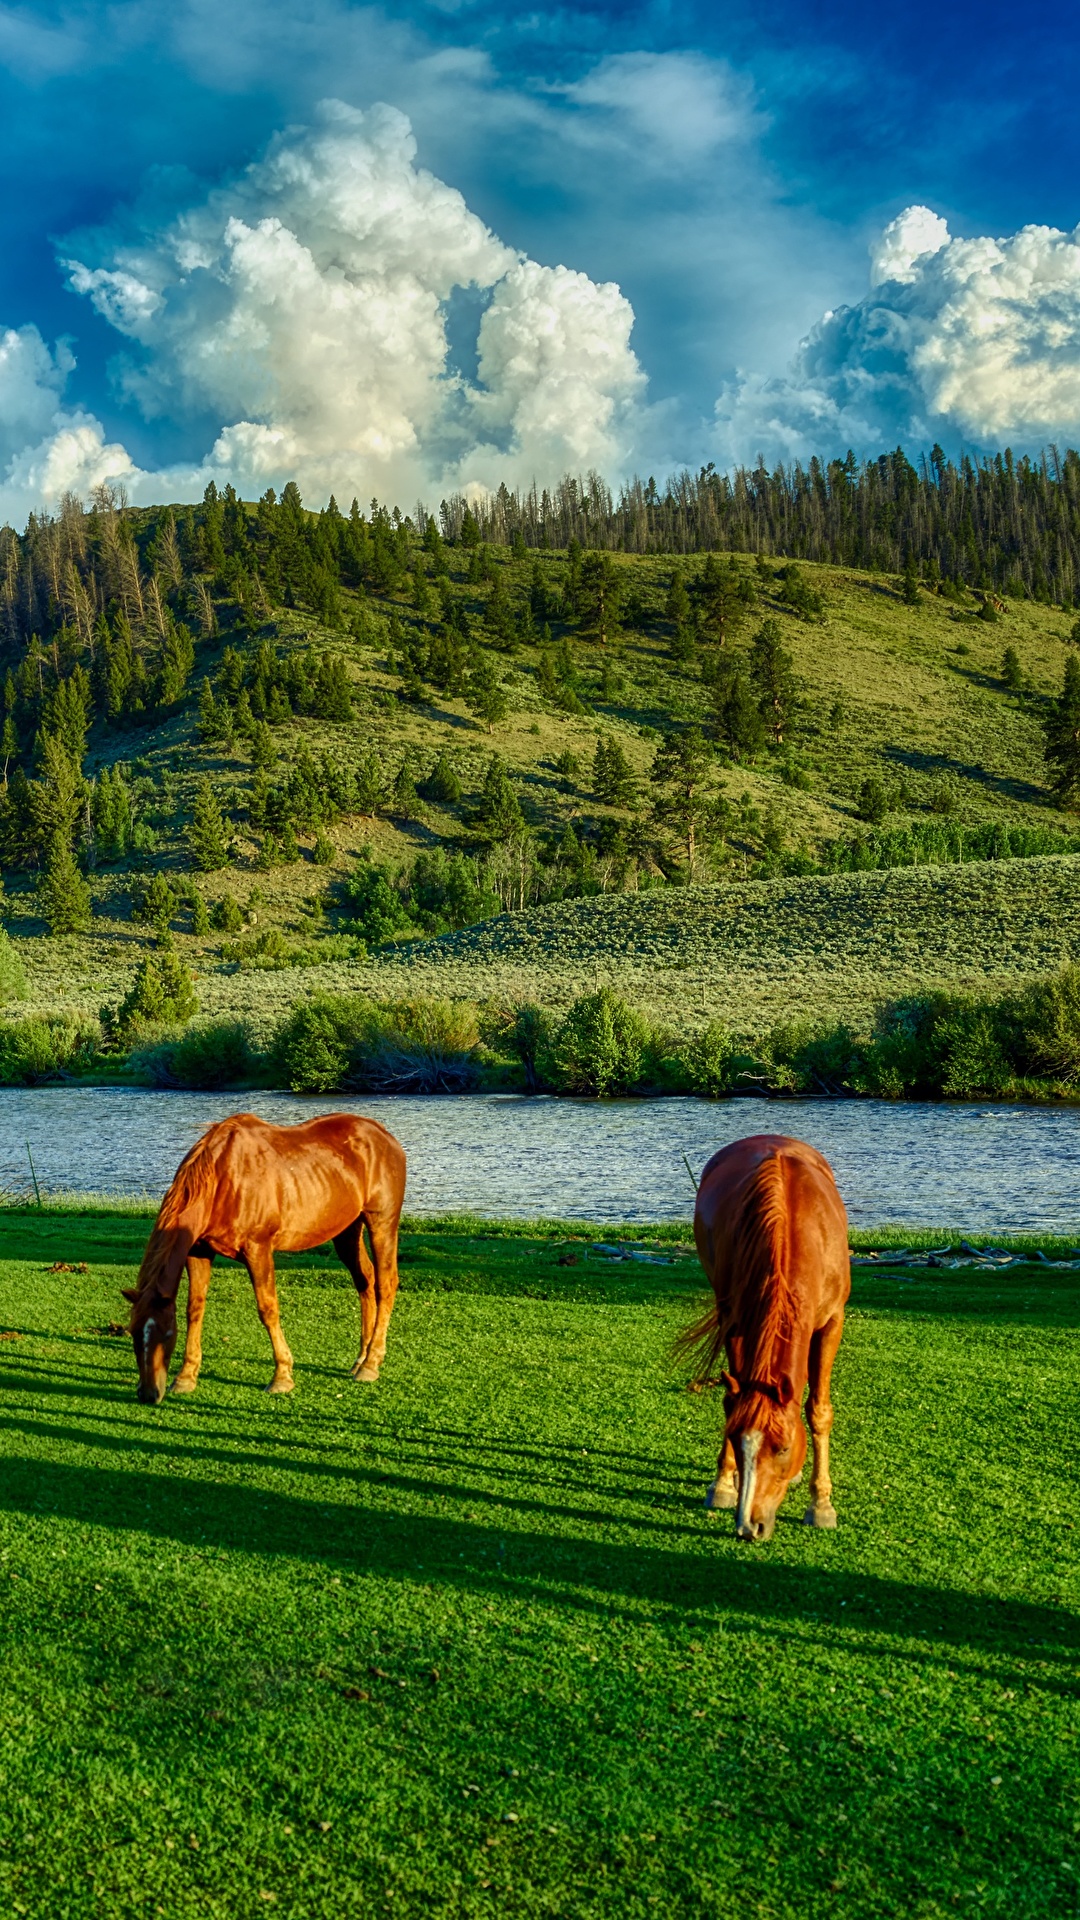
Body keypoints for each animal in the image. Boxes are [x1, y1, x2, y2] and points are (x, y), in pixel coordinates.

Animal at [123, 1112, 407, 1406]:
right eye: (132, 1331)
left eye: (166, 1334)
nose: (147, 1393)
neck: (222, 1178)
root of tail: (383, 1134)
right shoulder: (198, 1251)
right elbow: (195, 1309)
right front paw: (186, 1376)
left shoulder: (257, 1249)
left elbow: (268, 1310)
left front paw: (282, 1375)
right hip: (347, 1230)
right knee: (365, 1280)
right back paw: (361, 1358)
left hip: (381, 1223)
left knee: (385, 1284)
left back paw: (371, 1363)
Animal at [680, 1133, 850, 1542]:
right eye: (736, 1439)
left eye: (783, 1448)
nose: (749, 1525)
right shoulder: (736, 1320)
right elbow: (732, 1399)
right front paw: (723, 1482)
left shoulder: (832, 1321)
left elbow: (818, 1411)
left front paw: (821, 1504)